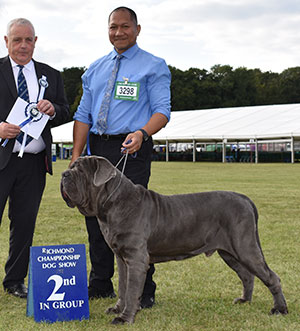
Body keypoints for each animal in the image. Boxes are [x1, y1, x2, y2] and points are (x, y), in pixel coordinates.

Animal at [61, 157, 288, 326]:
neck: (112, 204)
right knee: (247, 275)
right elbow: (123, 286)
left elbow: (133, 289)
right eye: (71, 167)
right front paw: (117, 309)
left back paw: (280, 309)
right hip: (229, 253)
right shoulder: (122, 257)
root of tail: (245, 199)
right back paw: (244, 301)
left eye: (80, 170)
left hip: (245, 247)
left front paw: (125, 318)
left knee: (271, 277)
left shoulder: (136, 259)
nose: (64, 174)